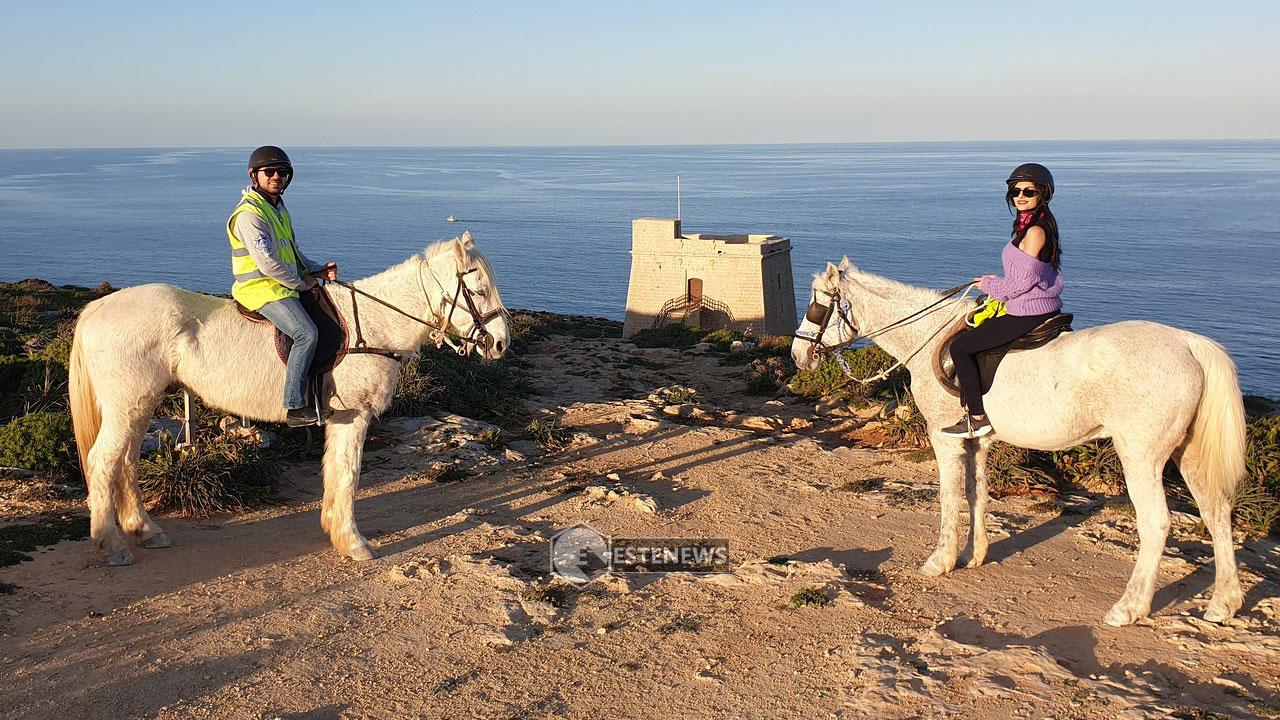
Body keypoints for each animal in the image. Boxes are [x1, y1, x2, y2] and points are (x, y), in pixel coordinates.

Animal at [69, 232, 510, 566]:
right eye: (479, 289)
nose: (501, 343)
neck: (374, 323)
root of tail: (97, 308)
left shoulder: (341, 419)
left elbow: (334, 471)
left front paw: (336, 531)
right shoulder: (354, 416)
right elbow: (348, 474)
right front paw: (354, 543)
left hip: (139, 405)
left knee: (125, 462)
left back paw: (144, 529)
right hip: (128, 406)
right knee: (103, 461)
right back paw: (111, 544)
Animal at [792, 257, 1247, 626]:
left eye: (816, 303)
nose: (798, 355)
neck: (930, 337)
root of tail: (1187, 344)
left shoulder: (944, 438)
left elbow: (949, 497)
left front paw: (940, 561)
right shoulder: (976, 441)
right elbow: (976, 494)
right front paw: (973, 555)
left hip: (1140, 456)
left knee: (1155, 524)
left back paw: (1129, 607)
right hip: (1188, 454)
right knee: (1216, 512)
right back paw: (1224, 602)